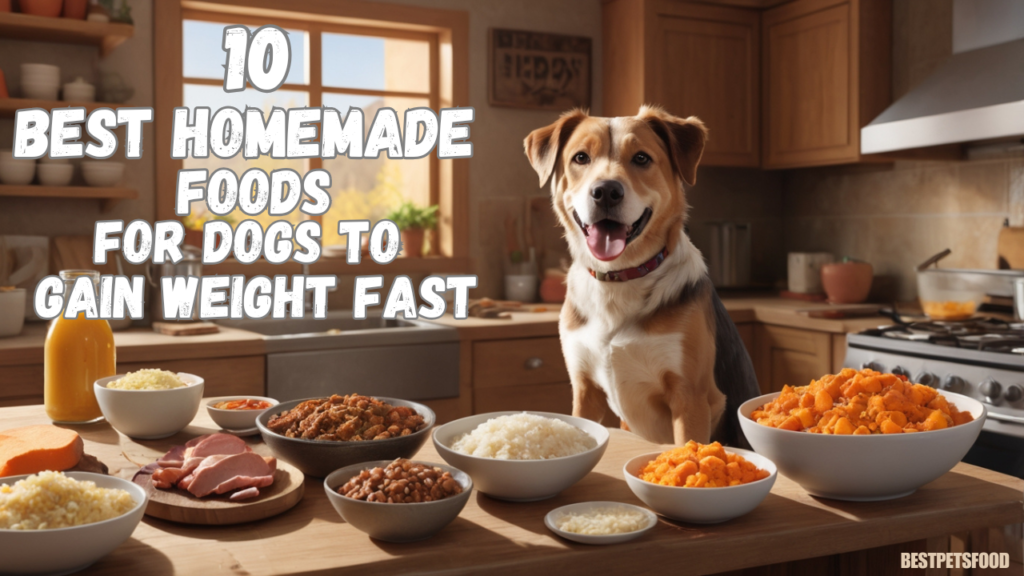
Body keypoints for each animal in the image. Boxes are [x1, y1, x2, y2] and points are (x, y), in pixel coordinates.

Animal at [528, 104, 761, 444]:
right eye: (581, 157)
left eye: (641, 158)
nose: (606, 191)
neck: (619, 279)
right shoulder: (585, 391)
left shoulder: (690, 398)